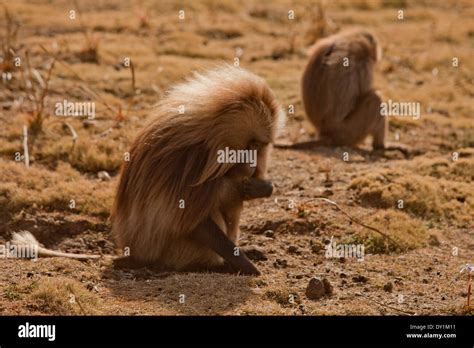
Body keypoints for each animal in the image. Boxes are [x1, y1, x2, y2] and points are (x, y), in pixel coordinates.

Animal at [110, 66, 286, 276]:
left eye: (259, 147)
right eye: (252, 144)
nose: (251, 166)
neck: (211, 140)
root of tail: (135, 254)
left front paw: (262, 187)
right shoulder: (194, 161)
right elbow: (192, 223)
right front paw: (246, 265)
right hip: (171, 252)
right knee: (221, 191)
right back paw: (219, 265)